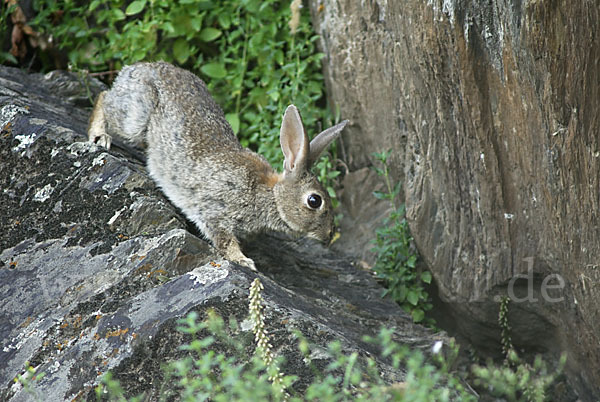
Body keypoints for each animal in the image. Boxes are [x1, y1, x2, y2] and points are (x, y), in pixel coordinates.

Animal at [89, 62, 352, 270]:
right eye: (314, 201)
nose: (329, 235)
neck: (270, 195)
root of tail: (138, 67)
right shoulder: (214, 210)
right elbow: (223, 239)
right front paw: (244, 261)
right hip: (135, 118)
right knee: (104, 97)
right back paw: (99, 136)